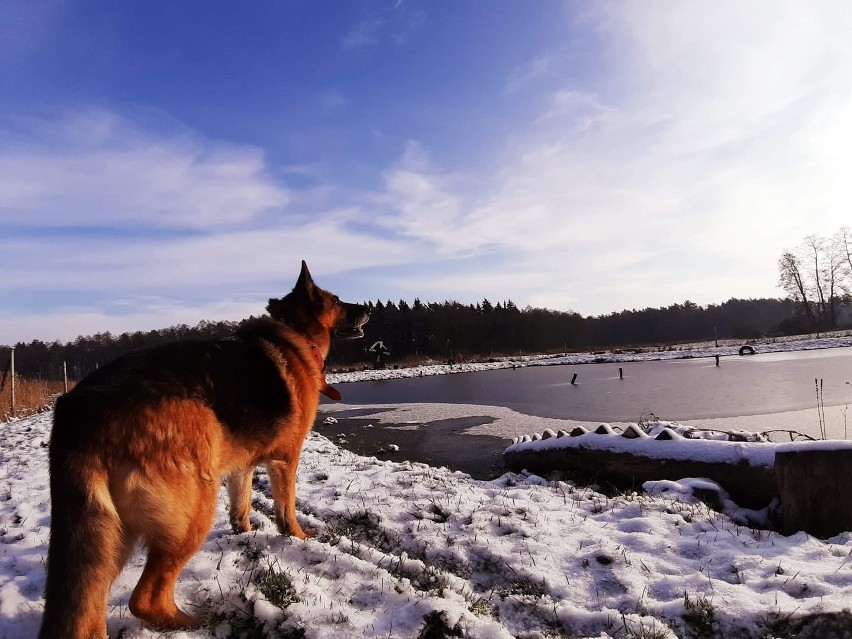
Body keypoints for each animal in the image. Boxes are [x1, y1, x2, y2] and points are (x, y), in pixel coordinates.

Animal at [39, 262, 370, 639]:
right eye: (337, 300)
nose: (368, 308)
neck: (293, 332)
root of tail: (80, 407)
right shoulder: (285, 460)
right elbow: (286, 508)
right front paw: (298, 536)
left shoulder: (242, 463)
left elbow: (241, 502)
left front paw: (245, 532)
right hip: (193, 507)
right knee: (145, 599)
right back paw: (195, 622)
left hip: (107, 536)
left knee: (89, 608)